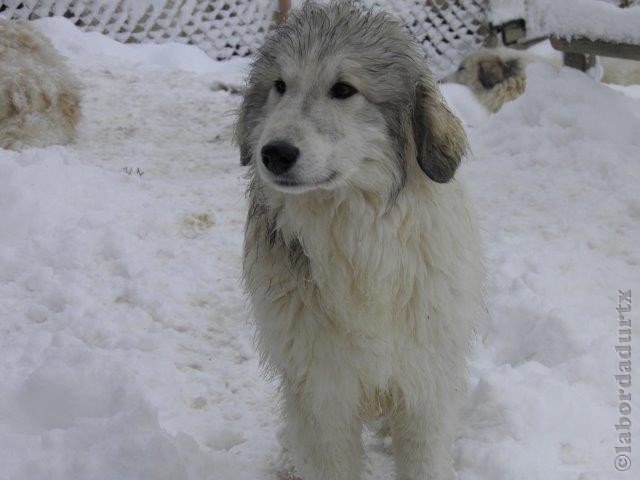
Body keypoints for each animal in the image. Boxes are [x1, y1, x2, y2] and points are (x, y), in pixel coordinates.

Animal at [236, 1, 484, 478]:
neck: (357, 241)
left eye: (344, 89)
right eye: (280, 86)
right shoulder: (322, 394)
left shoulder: (424, 388)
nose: (273, 153)